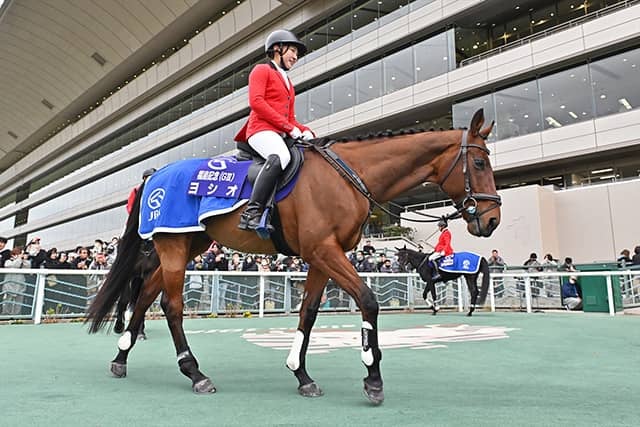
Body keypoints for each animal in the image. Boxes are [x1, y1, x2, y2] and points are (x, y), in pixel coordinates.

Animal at [85, 108, 501, 405]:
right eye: (480, 163)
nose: (492, 219)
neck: (347, 176)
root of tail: (155, 174)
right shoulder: (325, 251)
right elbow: (368, 301)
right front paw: (372, 376)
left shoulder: (321, 256)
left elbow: (309, 314)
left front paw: (301, 374)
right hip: (173, 246)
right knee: (170, 305)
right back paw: (194, 373)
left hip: (188, 244)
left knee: (145, 294)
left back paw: (121, 358)